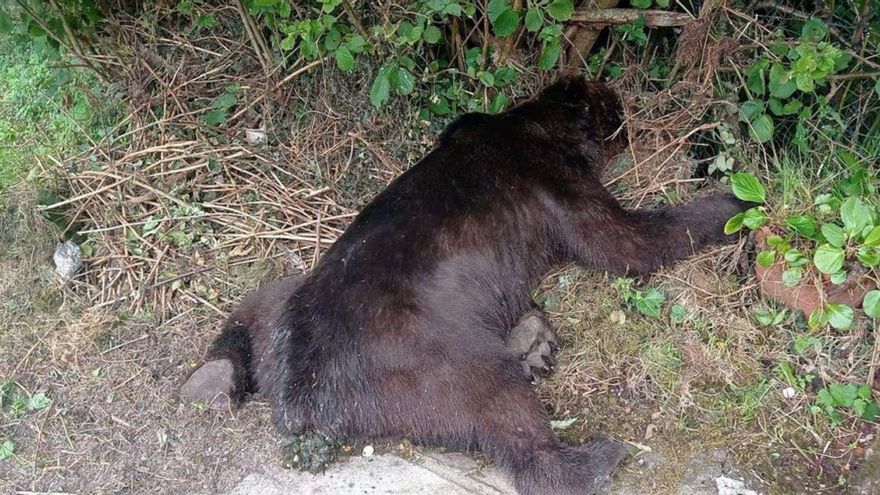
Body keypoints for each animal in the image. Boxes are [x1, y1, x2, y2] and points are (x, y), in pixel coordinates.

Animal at [181, 76, 751, 494]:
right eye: (611, 105)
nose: (625, 113)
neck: (535, 125)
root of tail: (302, 393)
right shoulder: (564, 190)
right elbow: (632, 240)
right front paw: (732, 203)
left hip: (288, 298)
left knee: (253, 304)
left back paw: (212, 377)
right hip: (439, 364)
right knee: (514, 426)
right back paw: (598, 455)